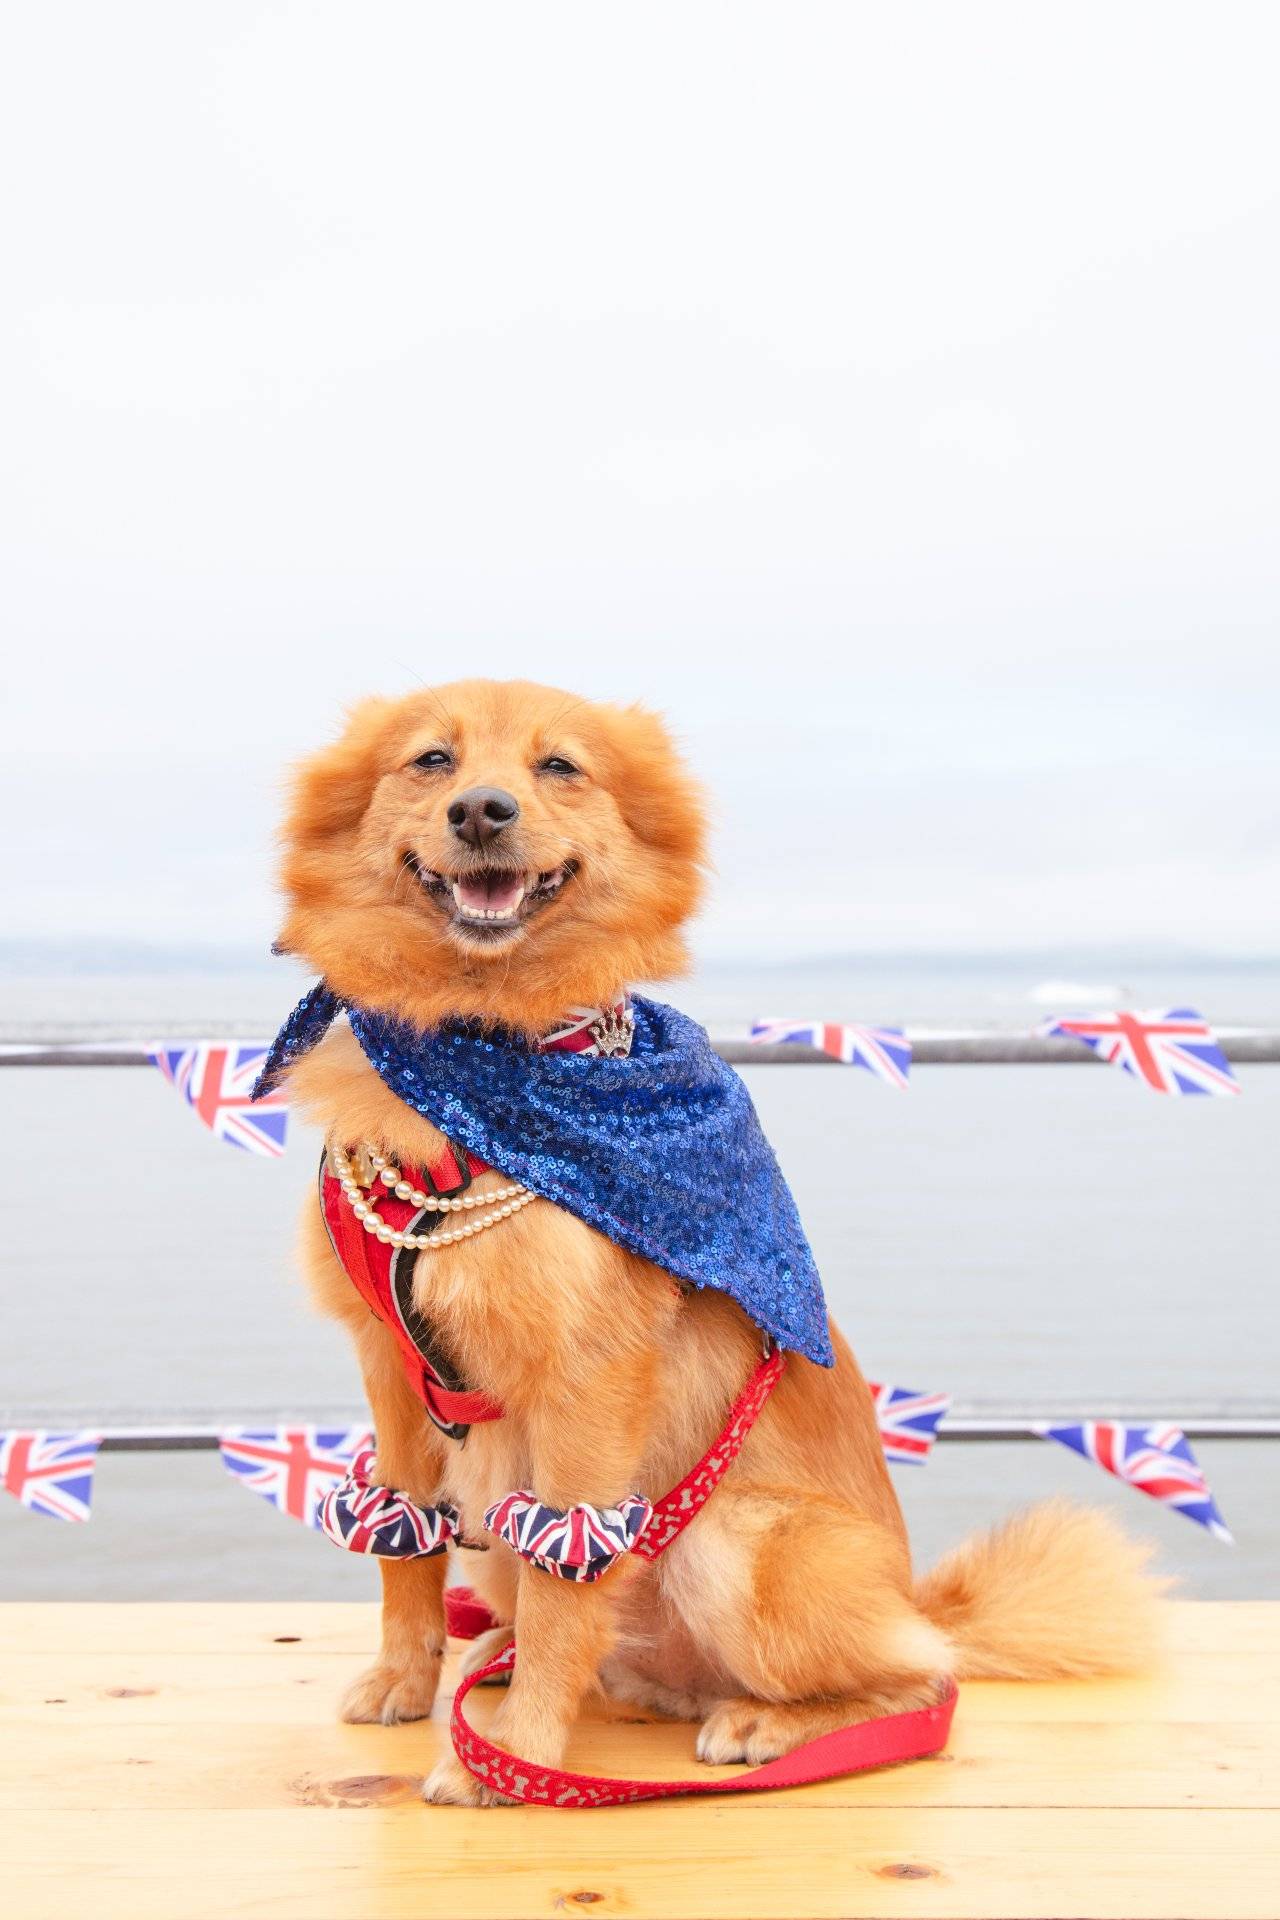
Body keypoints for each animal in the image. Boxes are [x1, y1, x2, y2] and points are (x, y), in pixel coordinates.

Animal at [276, 683, 1166, 1804]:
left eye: (559, 767)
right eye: (431, 761)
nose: (481, 810)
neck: (477, 1057)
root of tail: (913, 1601)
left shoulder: (587, 1384)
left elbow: (564, 1583)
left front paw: (516, 1754)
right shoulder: (389, 1368)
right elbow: (403, 1544)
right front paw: (406, 1679)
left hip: (736, 1540)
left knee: (921, 1680)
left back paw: (766, 1722)